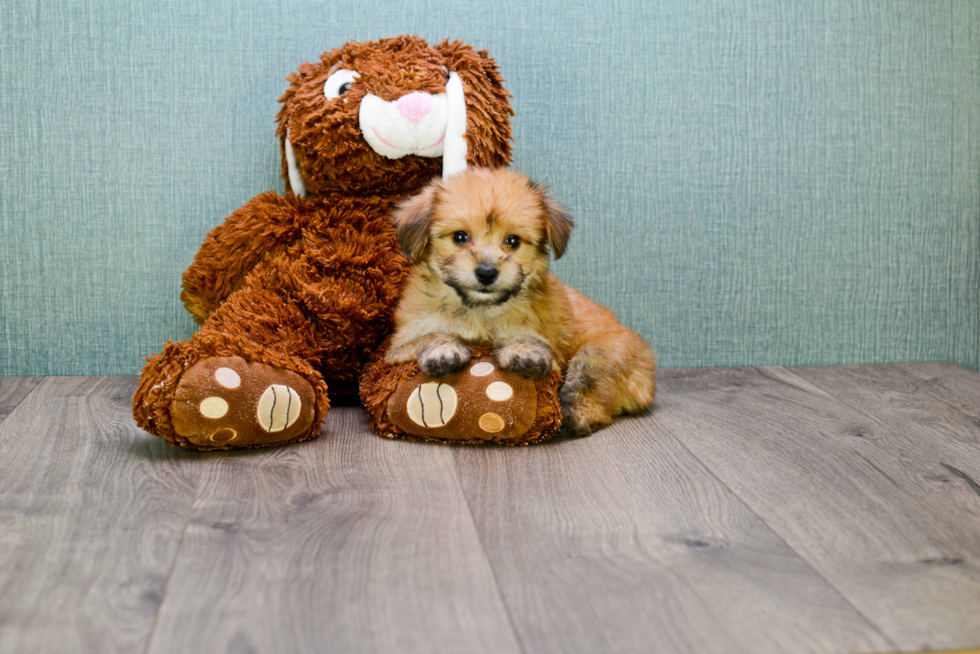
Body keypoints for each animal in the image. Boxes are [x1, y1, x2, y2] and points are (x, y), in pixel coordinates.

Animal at [386, 167, 656, 438]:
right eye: (460, 237)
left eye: (513, 241)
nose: (486, 273)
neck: (481, 310)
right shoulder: (396, 348)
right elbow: (428, 335)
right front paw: (443, 349)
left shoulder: (552, 352)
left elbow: (527, 339)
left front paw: (522, 351)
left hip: (604, 352)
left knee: (588, 381)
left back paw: (576, 415)